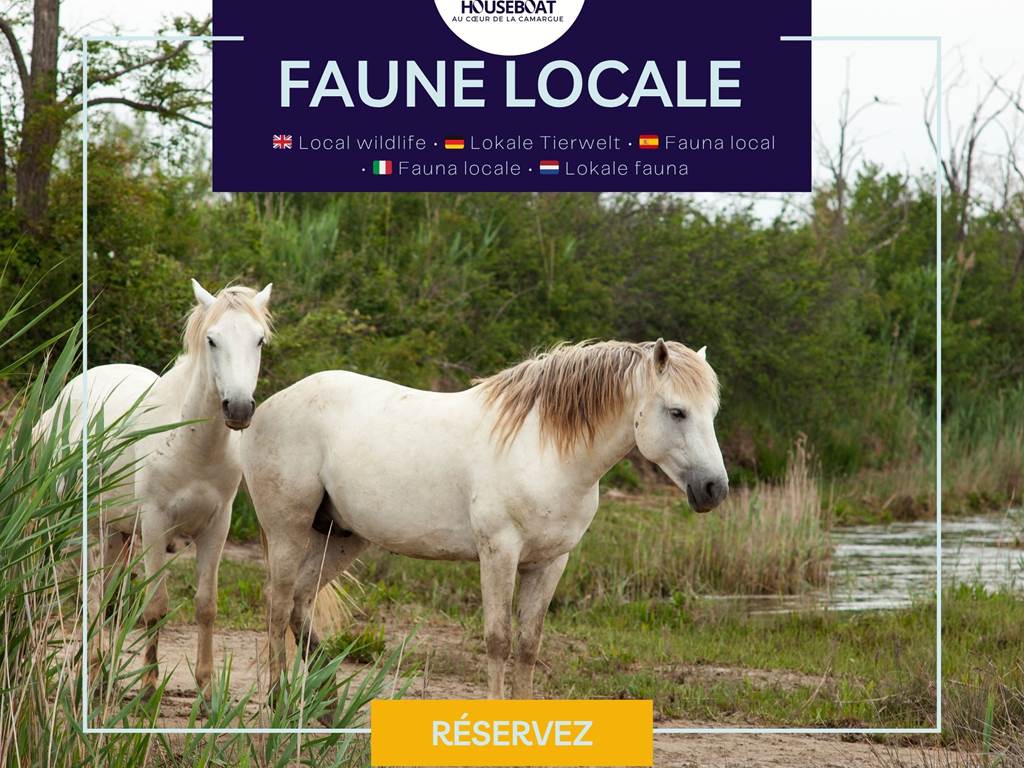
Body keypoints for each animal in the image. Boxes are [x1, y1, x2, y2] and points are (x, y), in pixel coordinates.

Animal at [37, 279, 272, 701]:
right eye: (212, 340)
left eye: (259, 339)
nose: (239, 408)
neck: (191, 444)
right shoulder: (155, 523)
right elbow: (155, 605)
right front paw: (148, 686)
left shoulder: (217, 527)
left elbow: (206, 606)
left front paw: (207, 690)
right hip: (84, 528)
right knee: (91, 597)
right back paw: (92, 675)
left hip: (117, 533)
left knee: (107, 599)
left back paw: (101, 676)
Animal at [243, 338, 727, 700]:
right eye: (677, 411)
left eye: (712, 413)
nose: (714, 489)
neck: (546, 450)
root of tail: (267, 406)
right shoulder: (499, 554)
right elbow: (498, 641)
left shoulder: (550, 563)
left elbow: (529, 646)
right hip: (288, 533)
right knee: (278, 605)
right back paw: (278, 706)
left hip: (342, 537)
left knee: (301, 603)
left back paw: (324, 708)